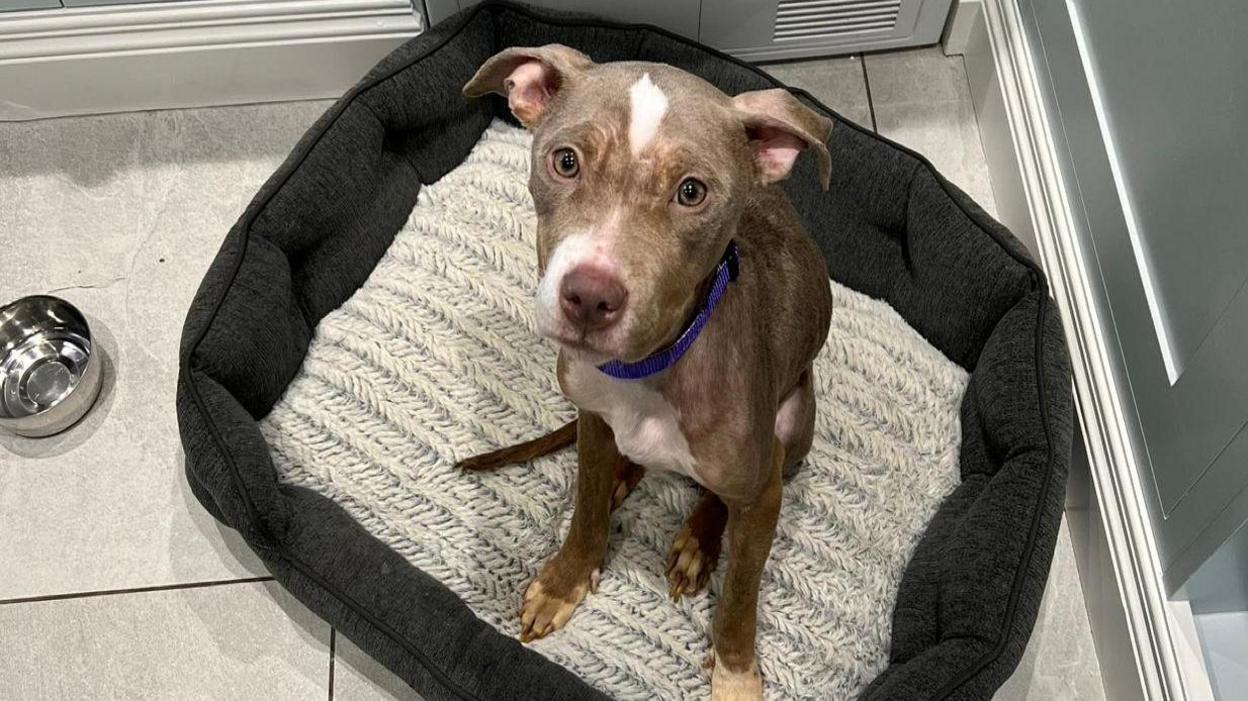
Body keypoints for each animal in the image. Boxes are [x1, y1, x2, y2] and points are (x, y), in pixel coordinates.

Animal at [464, 44, 833, 698]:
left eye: (691, 192)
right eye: (565, 161)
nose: (589, 297)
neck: (645, 370)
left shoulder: (762, 491)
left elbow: (741, 595)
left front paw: (735, 673)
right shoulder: (591, 415)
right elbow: (585, 509)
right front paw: (565, 580)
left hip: (793, 429)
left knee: (724, 496)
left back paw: (697, 541)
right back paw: (624, 475)